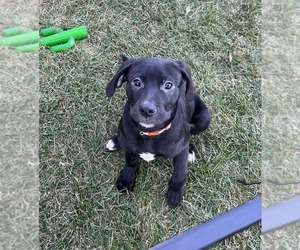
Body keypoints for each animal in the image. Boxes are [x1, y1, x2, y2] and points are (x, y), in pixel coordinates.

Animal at [105, 56, 211, 207]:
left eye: (168, 85)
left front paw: (175, 193)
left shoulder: (180, 153)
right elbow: (131, 161)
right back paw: (116, 141)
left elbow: (179, 174)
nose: (146, 110)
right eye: (137, 82)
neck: (149, 133)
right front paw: (127, 179)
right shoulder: (130, 146)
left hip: (204, 118)